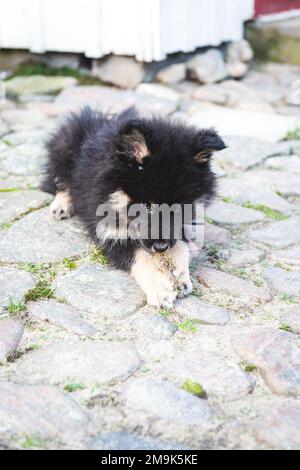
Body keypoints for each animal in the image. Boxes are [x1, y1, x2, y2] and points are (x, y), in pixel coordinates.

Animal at [42, 108, 225, 310]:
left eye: (179, 207)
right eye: (146, 205)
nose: (160, 247)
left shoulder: (180, 226)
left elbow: (181, 245)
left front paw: (182, 275)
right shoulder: (110, 233)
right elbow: (141, 258)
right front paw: (160, 290)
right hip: (64, 148)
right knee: (59, 180)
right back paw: (62, 204)